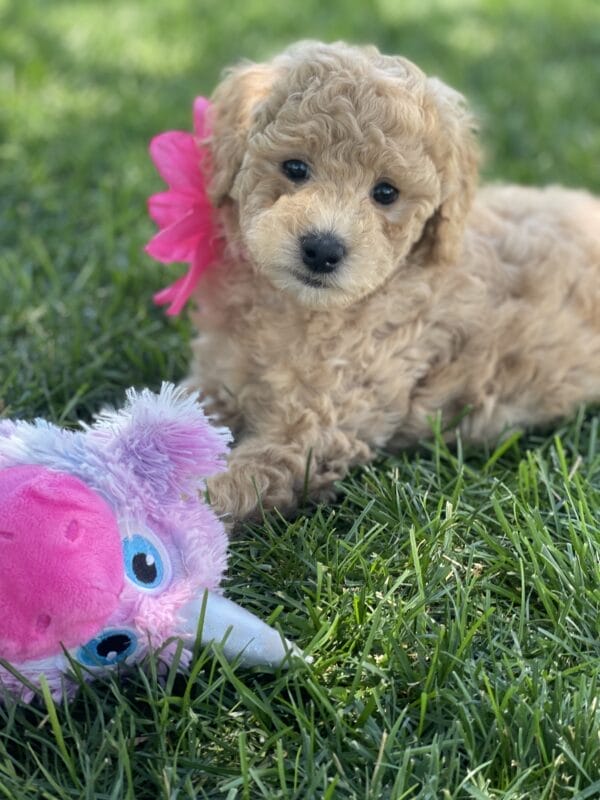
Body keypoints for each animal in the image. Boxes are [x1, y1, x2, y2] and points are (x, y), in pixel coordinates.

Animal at [183, 40, 600, 520]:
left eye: (385, 193)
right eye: (295, 167)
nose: (323, 249)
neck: (299, 308)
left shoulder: (314, 433)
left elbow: (241, 478)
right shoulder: (217, 377)